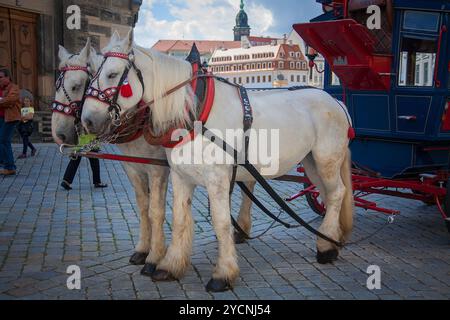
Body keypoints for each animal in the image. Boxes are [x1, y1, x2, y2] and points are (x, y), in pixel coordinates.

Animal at [51, 33, 255, 276]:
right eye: (56, 85)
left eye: (77, 85)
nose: (59, 134)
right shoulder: (133, 168)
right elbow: (143, 207)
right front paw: (143, 249)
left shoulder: (157, 169)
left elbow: (155, 210)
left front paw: (155, 256)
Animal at [81, 31, 356, 292]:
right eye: (91, 75)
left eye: (113, 74)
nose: (88, 120)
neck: (195, 114)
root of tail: (336, 101)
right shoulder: (180, 176)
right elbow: (179, 217)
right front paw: (170, 265)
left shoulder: (217, 179)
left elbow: (221, 222)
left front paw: (223, 274)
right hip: (311, 163)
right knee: (329, 194)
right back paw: (333, 237)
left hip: (326, 158)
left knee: (336, 193)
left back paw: (326, 248)